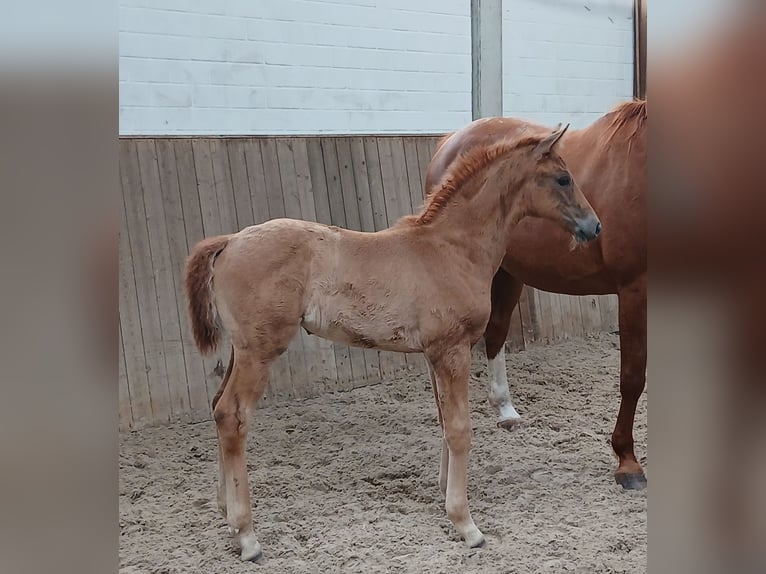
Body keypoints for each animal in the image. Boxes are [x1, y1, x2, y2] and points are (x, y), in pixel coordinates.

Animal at [184, 123, 601, 561]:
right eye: (563, 178)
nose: (594, 226)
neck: (451, 249)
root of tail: (229, 241)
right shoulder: (452, 350)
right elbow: (460, 428)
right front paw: (465, 523)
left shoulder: (436, 352)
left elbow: (444, 420)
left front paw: (443, 490)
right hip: (260, 351)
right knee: (232, 414)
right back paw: (247, 535)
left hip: (241, 350)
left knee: (217, 407)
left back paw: (225, 511)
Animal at [425, 100, 647, 490]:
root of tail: (450, 140)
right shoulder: (634, 288)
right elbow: (633, 375)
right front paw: (628, 463)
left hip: (508, 272)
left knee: (496, 332)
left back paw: (505, 410)